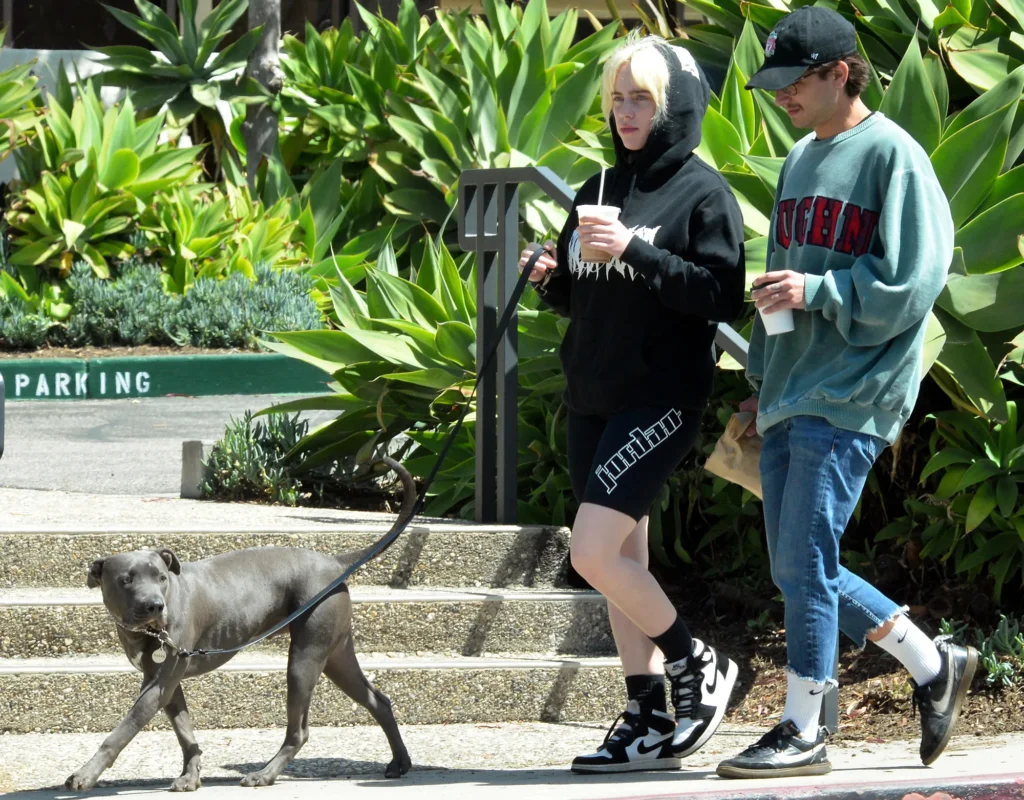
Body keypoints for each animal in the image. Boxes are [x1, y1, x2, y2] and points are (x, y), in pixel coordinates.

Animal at [64, 458, 413, 790]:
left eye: (161, 578)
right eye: (125, 580)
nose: (154, 605)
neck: (148, 631)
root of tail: (334, 563)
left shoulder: (157, 685)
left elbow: (122, 731)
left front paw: (85, 774)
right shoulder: (165, 682)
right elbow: (184, 731)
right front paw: (190, 776)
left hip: (304, 659)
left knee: (299, 730)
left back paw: (264, 775)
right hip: (336, 655)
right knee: (378, 701)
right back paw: (400, 762)